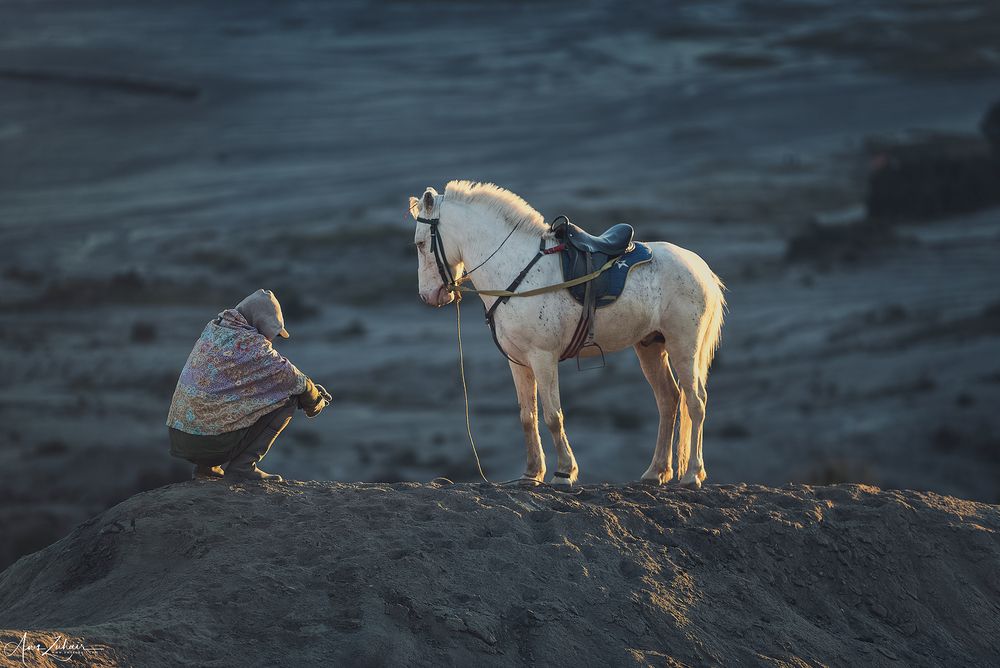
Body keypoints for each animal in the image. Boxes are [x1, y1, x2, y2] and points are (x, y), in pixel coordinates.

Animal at [409, 181, 725, 489]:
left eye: (421, 243)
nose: (428, 296)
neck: (516, 269)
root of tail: (701, 268)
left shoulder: (543, 357)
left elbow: (553, 415)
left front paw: (564, 472)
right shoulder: (518, 362)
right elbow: (528, 416)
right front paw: (531, 473)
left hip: (684, 346)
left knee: (695, 401)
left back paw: (692, 474)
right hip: (650, 346)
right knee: (668, 400)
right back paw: (656, 472)